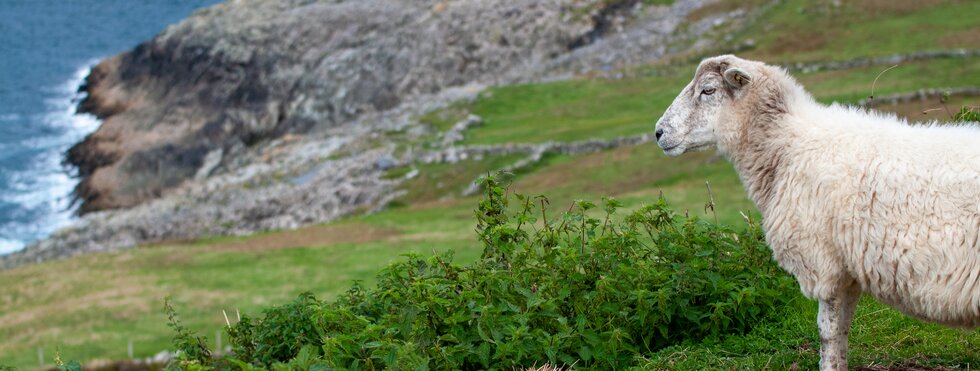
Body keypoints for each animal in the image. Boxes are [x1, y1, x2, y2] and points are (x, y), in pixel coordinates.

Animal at [656, 53, 980, 370]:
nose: (658, 132)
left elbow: (829, 332)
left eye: (708, 90)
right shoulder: (847, 268)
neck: (787, 146)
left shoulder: (823, 262)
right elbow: (844, 330)